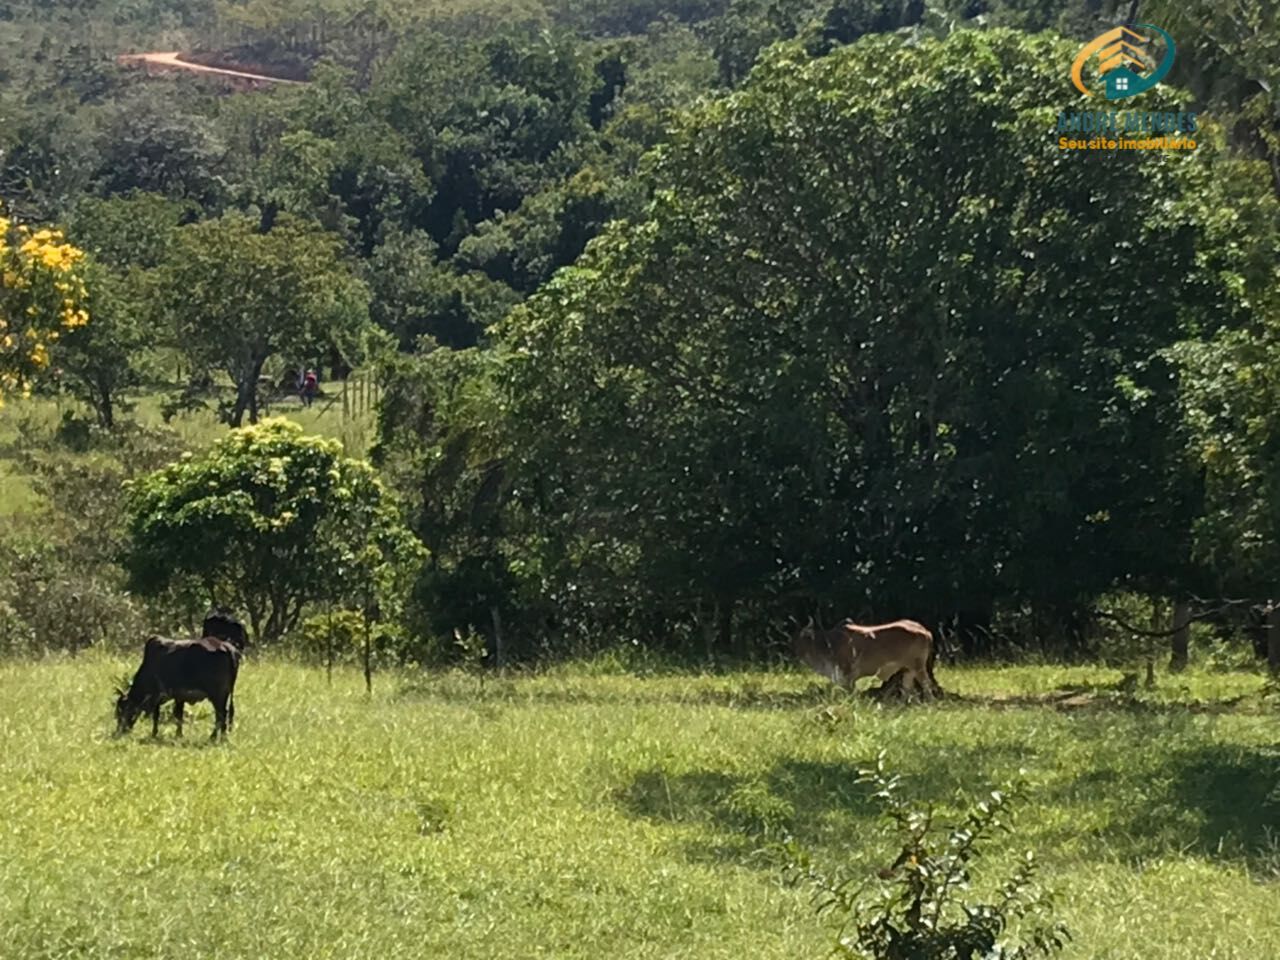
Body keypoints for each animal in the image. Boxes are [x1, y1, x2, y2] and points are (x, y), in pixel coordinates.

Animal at [788, 619, 942, 701]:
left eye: (799, 640)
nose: (793, 652)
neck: (828, 645)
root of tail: (925, 631)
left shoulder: (847, 674)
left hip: (918, 667)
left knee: (927, 686)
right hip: (908, 670)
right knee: (907, 689)